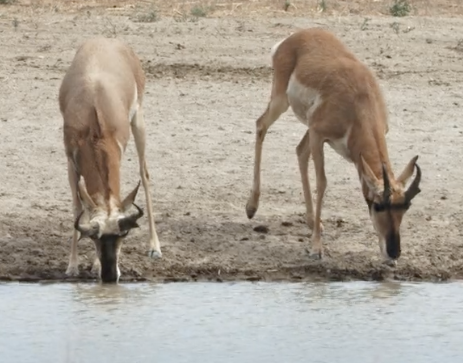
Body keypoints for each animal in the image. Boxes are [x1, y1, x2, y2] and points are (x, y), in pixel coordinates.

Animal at [59, 37, 162, 282]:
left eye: (123, 234)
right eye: (94, 237)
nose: (109, 276)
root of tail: (106, 40)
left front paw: (94, 266)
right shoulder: (71, 163)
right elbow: (77, 206)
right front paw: (72, 266)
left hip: (139, 122)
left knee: (145, 175)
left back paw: (155, 248)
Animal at [248, 27, 422, 264]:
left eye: (405, 206)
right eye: (378, 205)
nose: (393, 252)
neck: (359, 100)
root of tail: (297, 35)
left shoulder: (324, 136)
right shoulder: (319, 135)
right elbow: (322, 182)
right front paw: (316, 248)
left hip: (307, 125)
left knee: (300, 151)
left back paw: (312, 222)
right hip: (281, 103)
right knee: (261, 125)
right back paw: (251, 207)